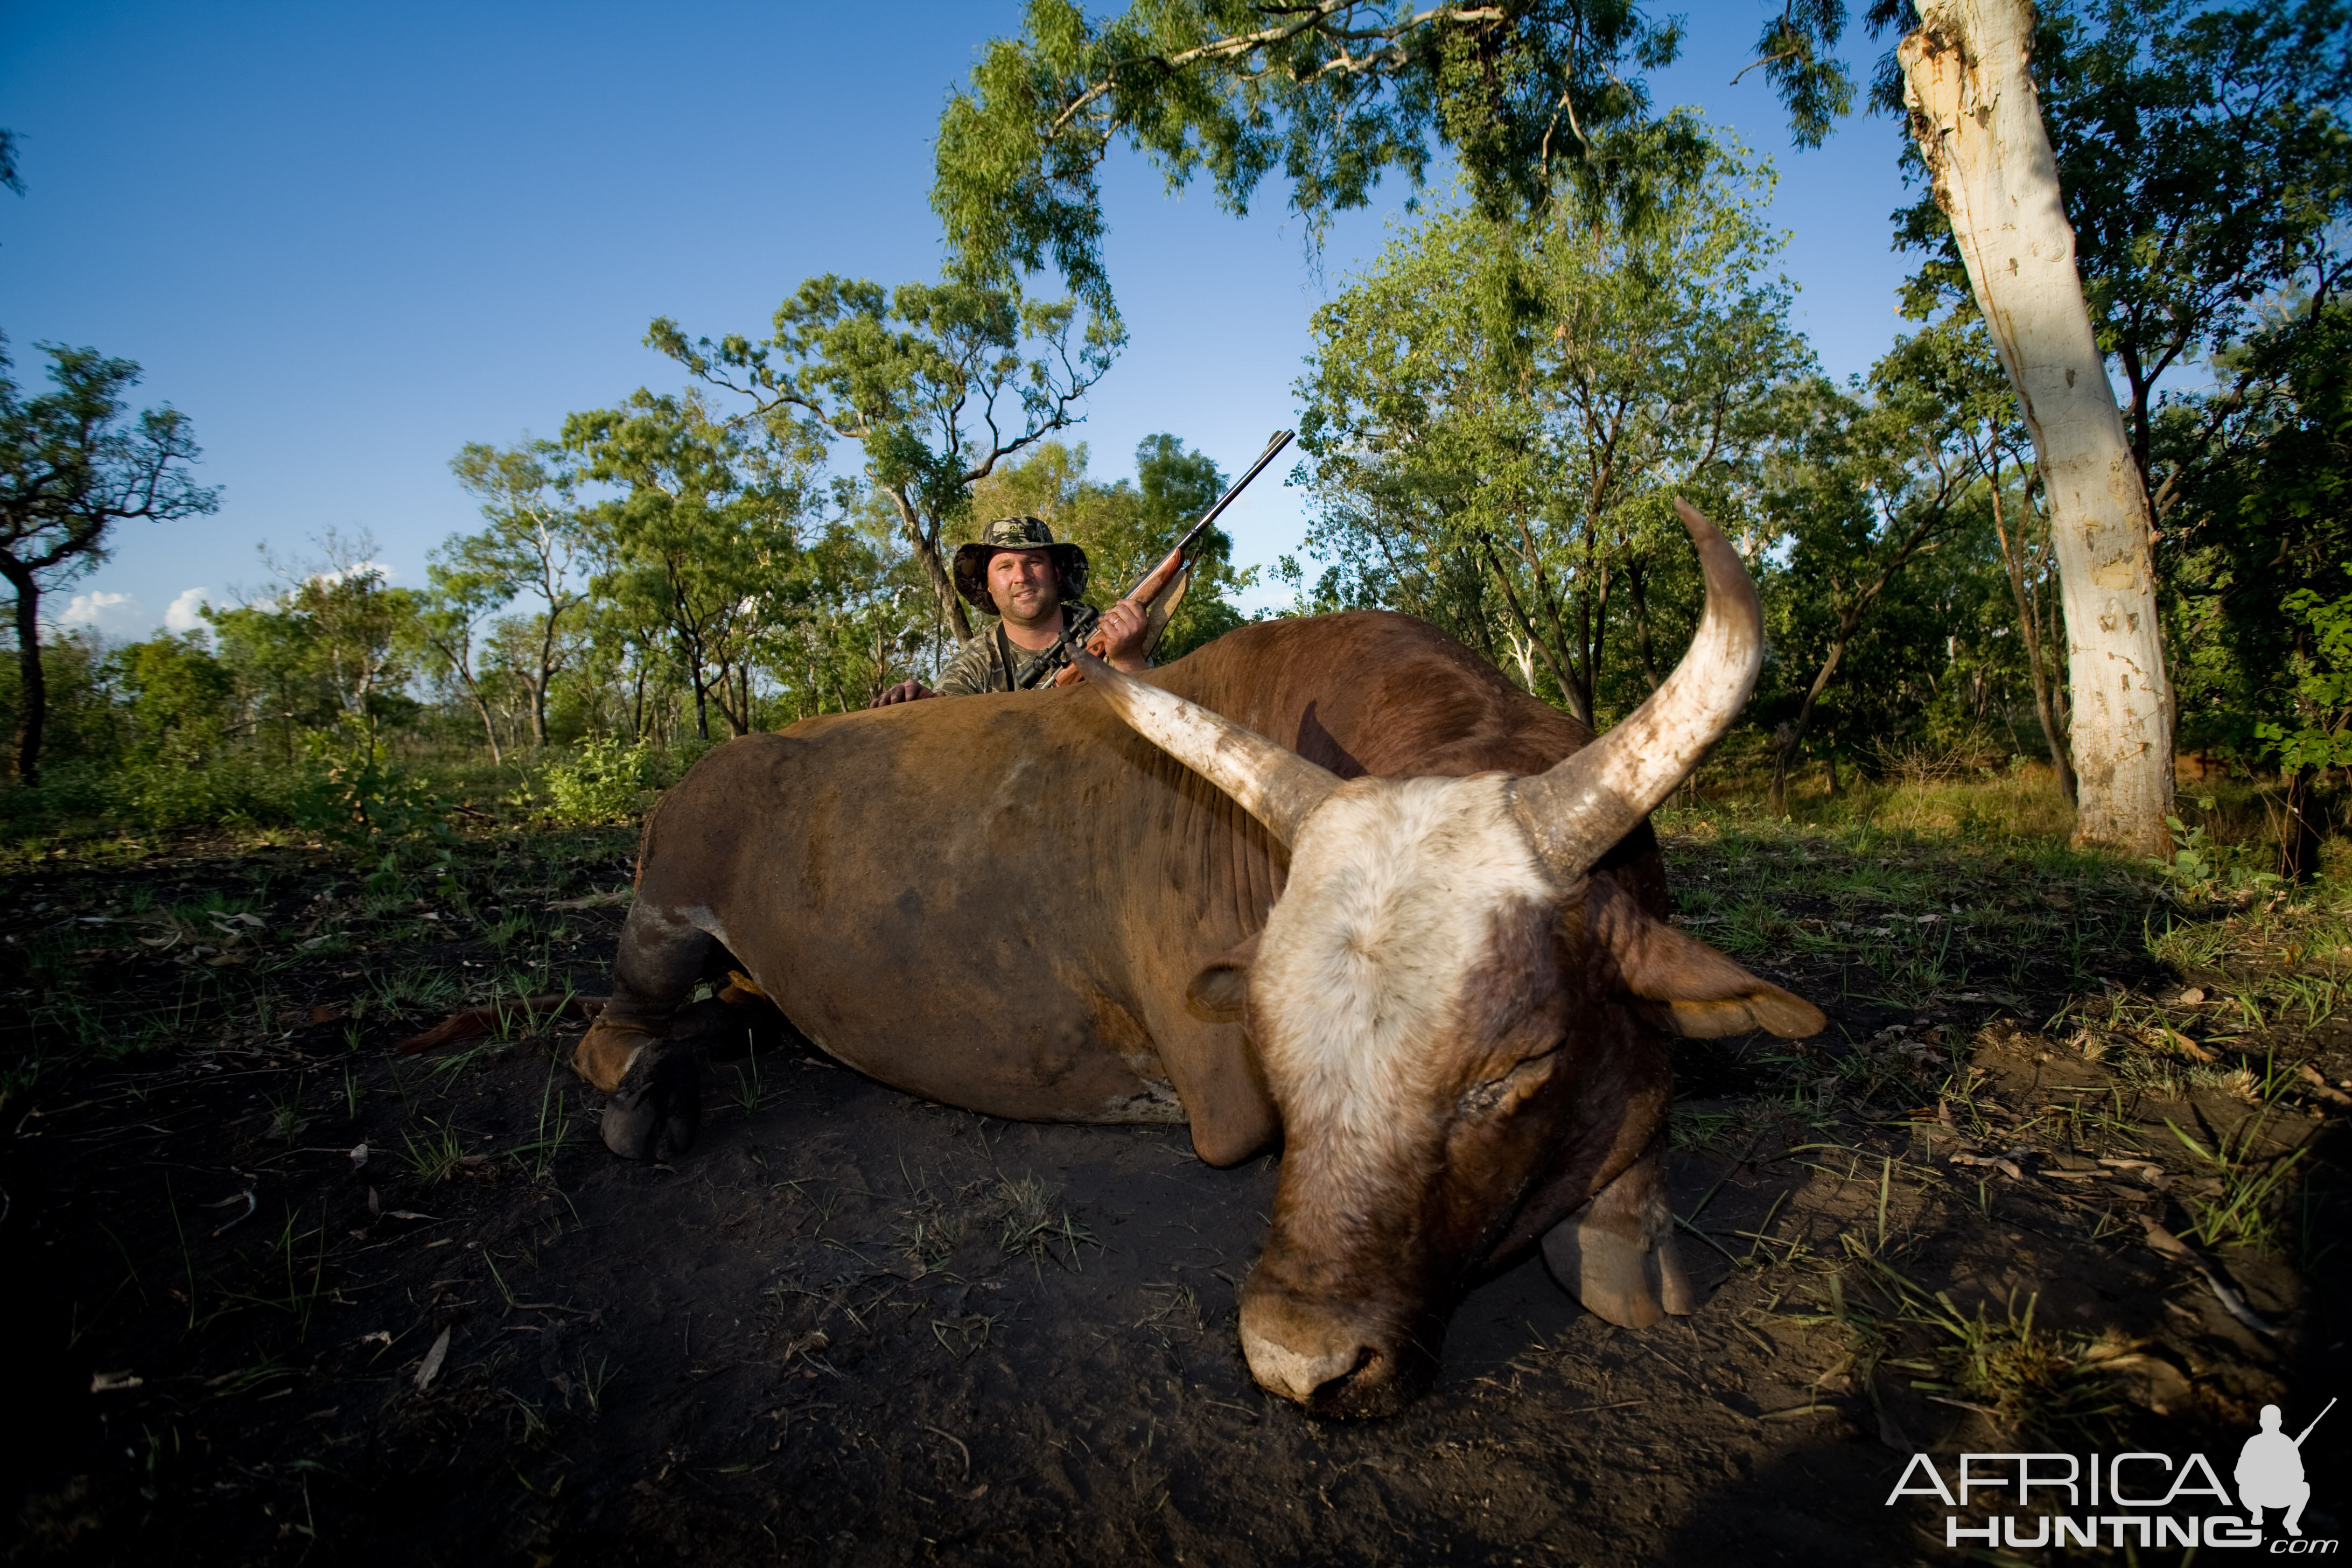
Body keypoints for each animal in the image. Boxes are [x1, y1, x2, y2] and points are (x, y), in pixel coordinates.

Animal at [567, 503, 1824, 1416]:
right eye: (1273, 1047)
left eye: (1515, 1068)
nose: (1300, 1362)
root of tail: (719, 765)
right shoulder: (1225, 1100)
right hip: (660, 915)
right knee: (613, 1032)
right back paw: (650, 1096)